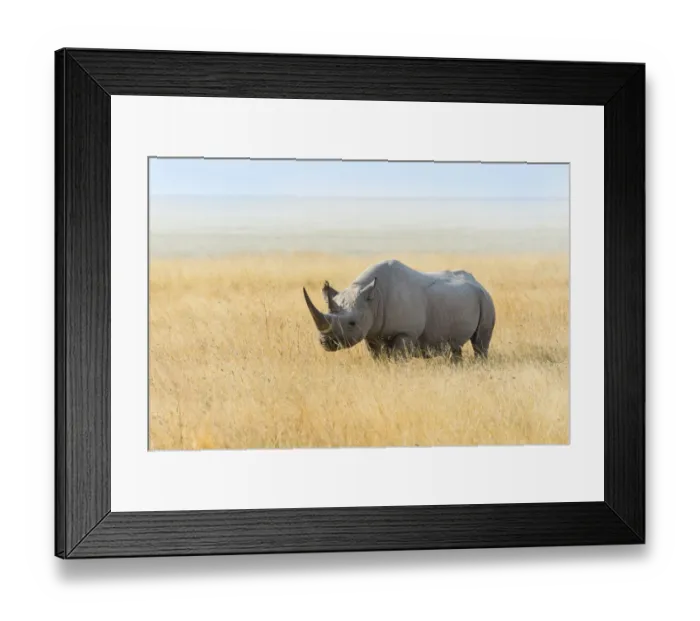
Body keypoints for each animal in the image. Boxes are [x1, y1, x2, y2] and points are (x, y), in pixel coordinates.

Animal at [302, 259, 495, 361]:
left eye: (352, 323)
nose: (325, 342)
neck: (373, 298)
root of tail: (478, 283)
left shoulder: (406, 332)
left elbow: (398, 356)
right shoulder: (372, 331)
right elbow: (377, 355)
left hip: (486, 299)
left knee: (480, 342)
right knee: (456, 346)